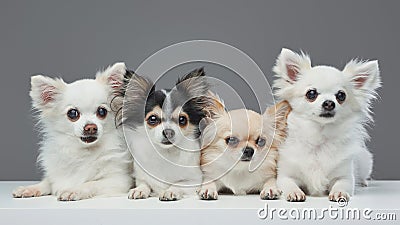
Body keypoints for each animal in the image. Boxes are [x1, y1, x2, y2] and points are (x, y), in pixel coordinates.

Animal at [12, 62, 133, 200]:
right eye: (72, 113)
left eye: (102, 111)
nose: (91, 127)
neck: (83, 152)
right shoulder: (57, 176)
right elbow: (48, 182)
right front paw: (30, 188)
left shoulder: (119, 180)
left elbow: (91, 183)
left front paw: (73, 190)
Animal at [272, 48, 382, 202]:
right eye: (311, 93)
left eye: (341, 95)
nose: (329, 103)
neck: (319, 138)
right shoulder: (285, 175)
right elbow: (288, 184)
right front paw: (294, 192)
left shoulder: (345, 177)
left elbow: (342, 184)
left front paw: (339, 192)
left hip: (366, 161)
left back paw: (364, 182)